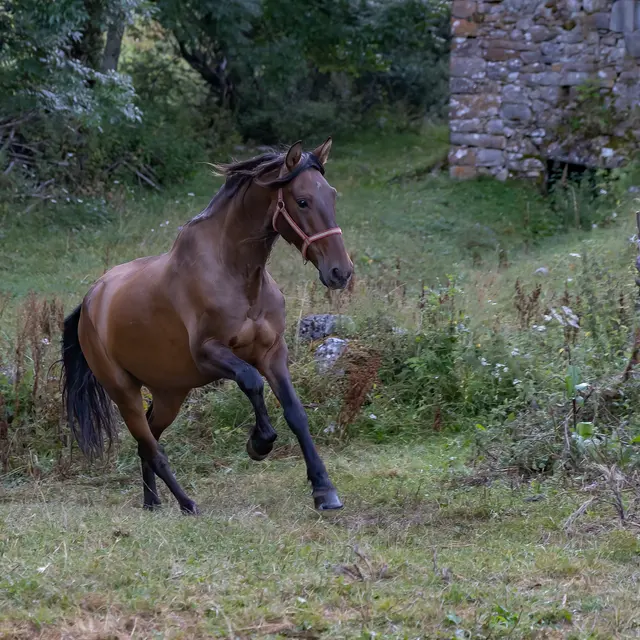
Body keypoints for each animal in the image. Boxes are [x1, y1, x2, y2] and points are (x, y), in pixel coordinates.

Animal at [61, 138, 353, 514]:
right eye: (301, 200)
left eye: (332, 195)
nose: (340, 272)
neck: (237, 277)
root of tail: (90, 302)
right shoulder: (209, 353)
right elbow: (251, 381)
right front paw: (259, 443)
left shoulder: (273, 352)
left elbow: (295, 413)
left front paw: (324, 490)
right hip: (123, 391)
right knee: (152, 447)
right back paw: (187, 504)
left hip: (170, 393)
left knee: (149, 439)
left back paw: (153, 502)